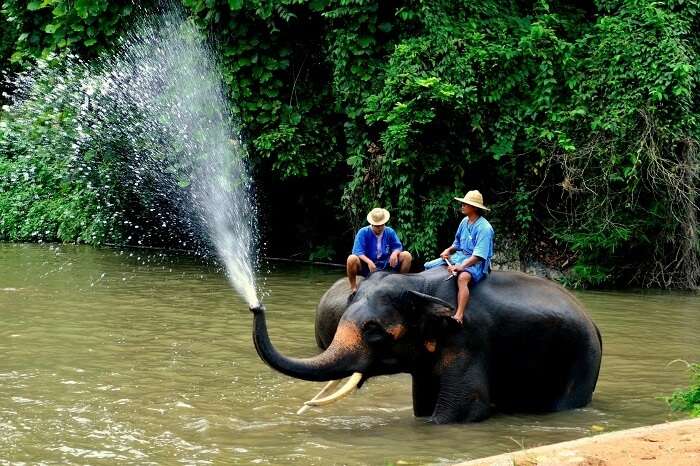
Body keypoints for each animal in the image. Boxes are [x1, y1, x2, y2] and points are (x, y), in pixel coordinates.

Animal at [250, 266, 600, 422]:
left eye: (374, 331)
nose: (256, 306)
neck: (418, 284)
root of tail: (593, 321)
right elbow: (422, 404)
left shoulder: (468, 340)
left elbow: (462, 411)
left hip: (582, 362)